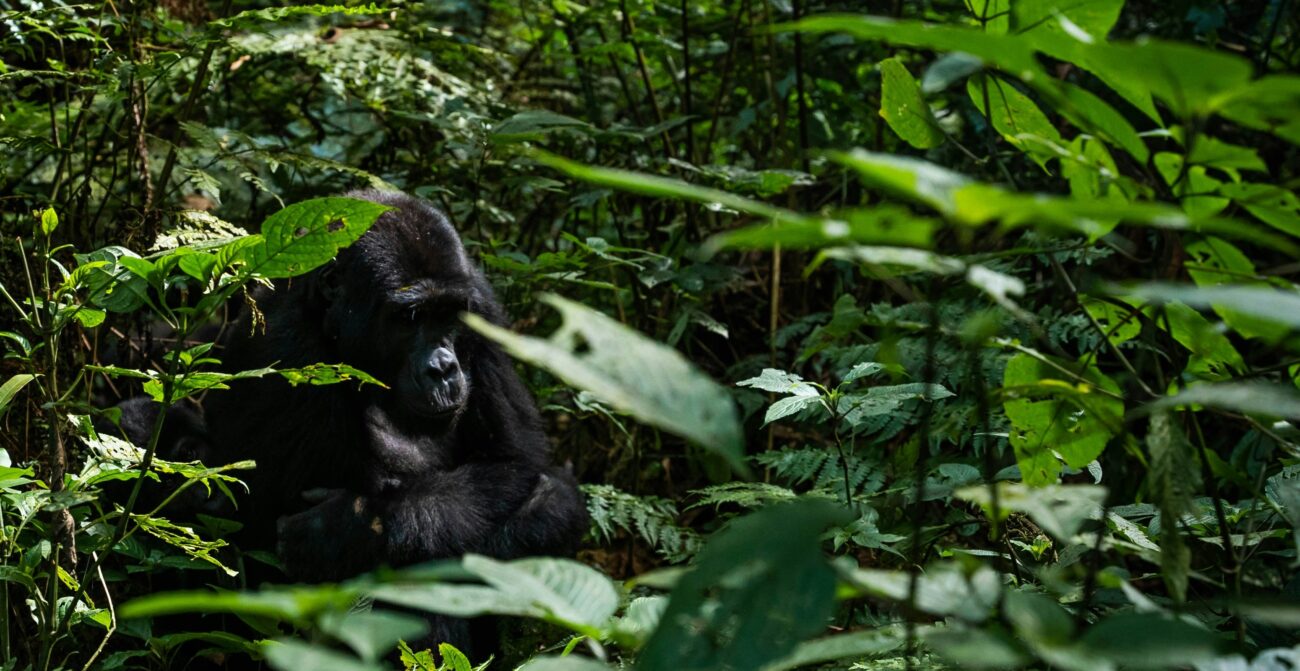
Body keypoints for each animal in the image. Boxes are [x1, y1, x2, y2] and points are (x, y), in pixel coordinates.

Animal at [201, 188, 585, 644]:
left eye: (449, 314)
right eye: (409, 317)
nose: (444, 369)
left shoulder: (482, 305)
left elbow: (516, 464)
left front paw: (350, 528)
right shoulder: (287, 354)